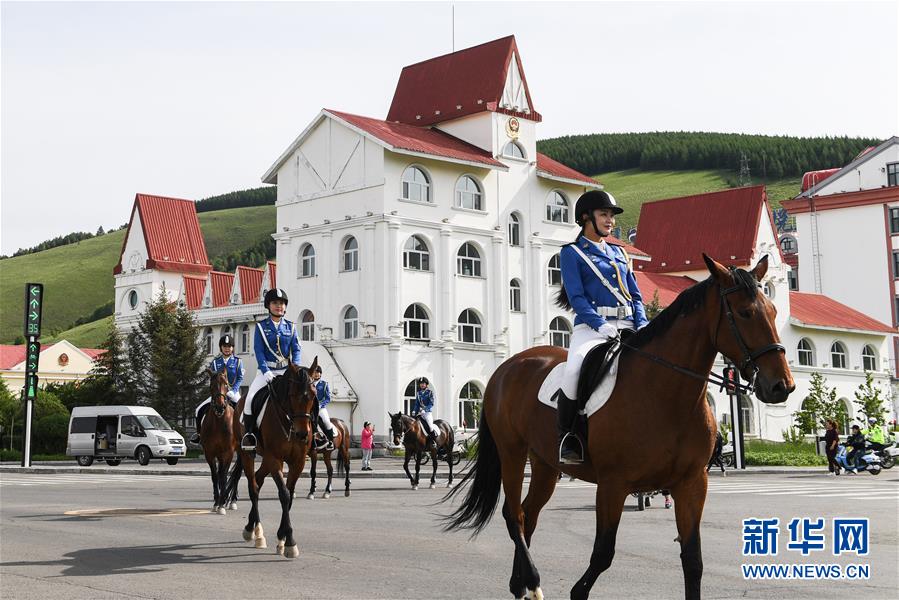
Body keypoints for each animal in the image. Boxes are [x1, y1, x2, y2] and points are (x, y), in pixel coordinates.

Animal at [203, 368, 239, 512]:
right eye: (211, 386)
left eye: (226, 384)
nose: (220, 407)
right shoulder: (209, 453)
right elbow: (215, 476)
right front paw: (216, 502)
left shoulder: (228, 453)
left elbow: (224, 476)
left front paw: (222, 504)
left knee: (237, 474)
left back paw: (232, 500)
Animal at [224, 356, 320, 556]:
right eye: (292, 395)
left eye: (313, 395)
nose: (302, 434)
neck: (288, 420)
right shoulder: (275, 459)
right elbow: (284, 494)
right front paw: (290, 541)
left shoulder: (298, 461)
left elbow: (289, 494)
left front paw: (282, 538)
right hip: (249, 454)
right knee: (253, 487)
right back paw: (256, 532)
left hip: (267, 459)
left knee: (258, 480)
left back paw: (253, 527)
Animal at [442, 255, 796, 596]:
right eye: (745, 313)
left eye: (774, 310)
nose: (782, 385)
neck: (666, 394)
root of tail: (508, 366)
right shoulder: (613, 485)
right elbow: (602, 554)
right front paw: (577, 591)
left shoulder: (692, 483)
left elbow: (693, 560)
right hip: (512, 452)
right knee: (513, 515)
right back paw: (532, 580)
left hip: (544, 463)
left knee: (529, 514)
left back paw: (521, 585)